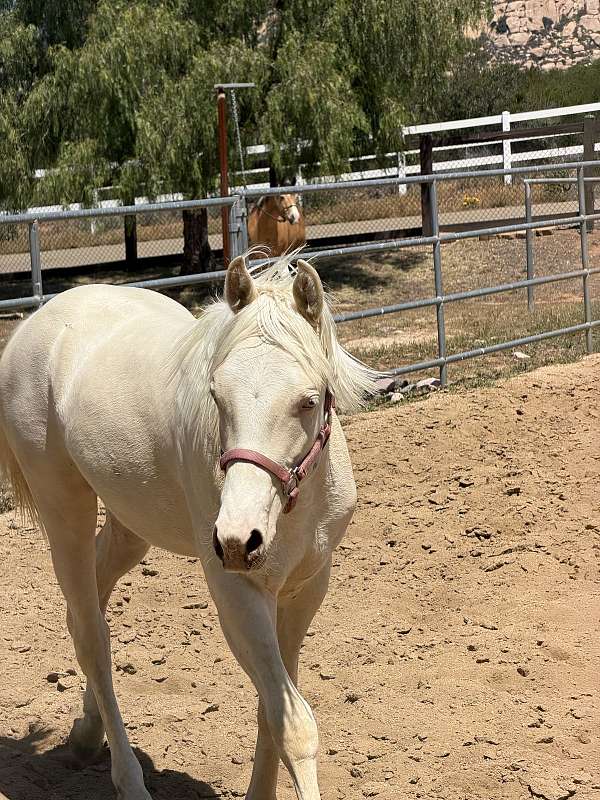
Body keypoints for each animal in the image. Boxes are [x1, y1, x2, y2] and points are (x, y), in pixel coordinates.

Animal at [0, 255, 375, 800]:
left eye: (308, 400)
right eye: (217, 395)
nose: (239, 540)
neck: (291, 509)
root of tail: (34, 324)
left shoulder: (307, 586)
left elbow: (271, 711)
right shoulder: (237, 593)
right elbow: (294, 726)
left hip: (130, 527)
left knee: (87, 604)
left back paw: (87, 735)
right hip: (63, 509)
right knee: (93, 638)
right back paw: (129, 781)